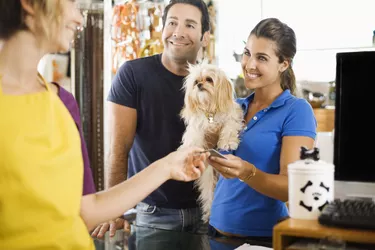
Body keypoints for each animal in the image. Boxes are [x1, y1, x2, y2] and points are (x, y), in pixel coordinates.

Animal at [181, 61, 245, 222]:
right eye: (196, 82)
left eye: (209, 79)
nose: (199, 85)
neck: (210, 109)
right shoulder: (197, 126)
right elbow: (194, 137)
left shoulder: (231, 118)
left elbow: (229, 129)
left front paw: (227, 143)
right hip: (208, 177)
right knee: (209, 195)